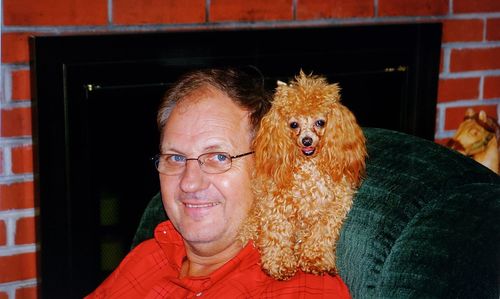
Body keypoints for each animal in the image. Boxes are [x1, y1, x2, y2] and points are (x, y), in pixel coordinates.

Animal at [239, 71, 368, 282]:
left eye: (320, 122)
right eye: (293, 124)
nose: (306, 140)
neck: (309, 168)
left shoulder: (332, 209)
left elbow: (321, 235)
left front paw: (315, 260)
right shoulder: (275, 207)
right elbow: (278, 235)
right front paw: (280, 265)